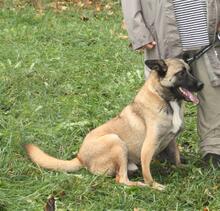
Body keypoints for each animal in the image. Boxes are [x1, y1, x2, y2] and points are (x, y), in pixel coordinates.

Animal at [24, 58, 204, 191]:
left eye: (190, 70)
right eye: (181, 73)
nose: (201, 85)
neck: (165, 99)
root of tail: (80, 157)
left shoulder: (171, 140)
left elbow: (176, 157)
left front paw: (183, 167)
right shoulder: (148, 147)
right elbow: (148, 174)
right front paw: (154, 186)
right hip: (116, 141)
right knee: (121, 179)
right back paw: (140, 185)